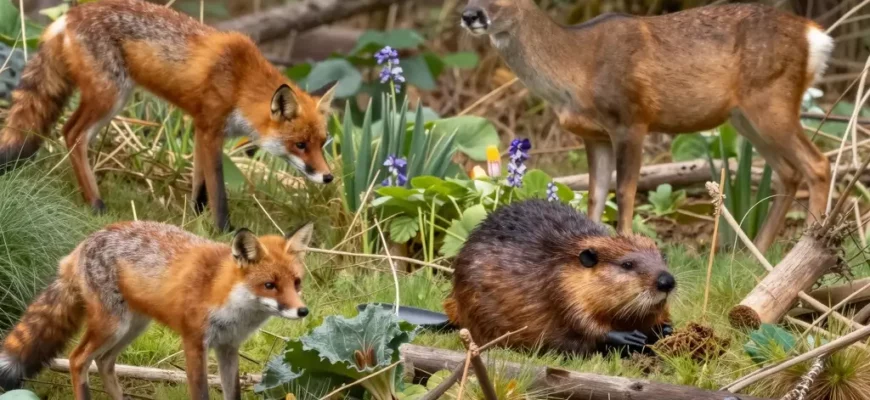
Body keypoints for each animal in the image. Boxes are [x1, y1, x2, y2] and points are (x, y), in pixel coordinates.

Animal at [0, 0, 337, 232]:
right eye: (300, 145)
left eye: (323, 143)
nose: (329, 177)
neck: (241, 82)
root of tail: (67, 17)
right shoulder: (211, 129)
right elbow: (219, 191)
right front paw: (224, 231)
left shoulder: (202, 130)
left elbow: (201, 186)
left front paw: (199, 221)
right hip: (109, 98)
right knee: (72, 133)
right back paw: (95, 205)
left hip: (112, 102)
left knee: (72, 135)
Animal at [0, 220, 315, 400]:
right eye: (270, 285)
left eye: (297, 282)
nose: (303, 311)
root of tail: (81, 245)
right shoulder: (194, 342)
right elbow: (200, 393)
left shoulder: (228, 347)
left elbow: (233, 393)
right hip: (111, 327)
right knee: (78, 360)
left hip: (133, 328)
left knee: (103, 362)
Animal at [460, 0, 835, 254]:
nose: (469, 14)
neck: (575, 70)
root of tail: (815, 37)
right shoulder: (593, 135)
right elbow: (595, 195)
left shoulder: (631, 119)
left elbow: (625, 192)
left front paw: (627, 247)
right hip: (745, 117)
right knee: (790, 172)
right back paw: (755, 254)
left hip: (771, 102)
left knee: (817, 164)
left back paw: (804, 251)